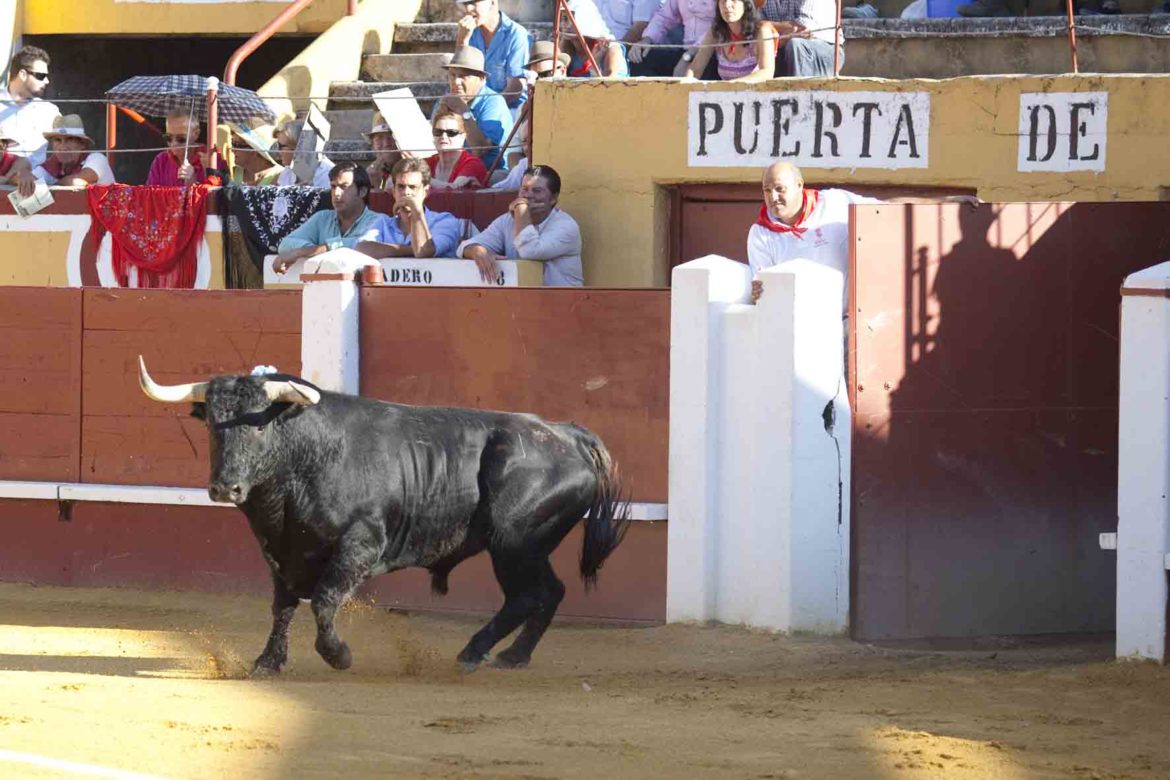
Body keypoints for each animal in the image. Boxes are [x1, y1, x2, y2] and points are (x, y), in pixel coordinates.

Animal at [139, 357, 631, 673]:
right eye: (210, 423)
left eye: (259, 426)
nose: (225, 488)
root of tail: (568, 434)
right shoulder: (278, 551)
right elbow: (282, 606)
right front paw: (268, 661)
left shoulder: (361, 544)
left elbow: (324, 600)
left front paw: (338, 655)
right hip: (526, 549)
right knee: (549, 592)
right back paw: (511, 655)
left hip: (513, 544)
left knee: (528, 596)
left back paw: (479, 652)